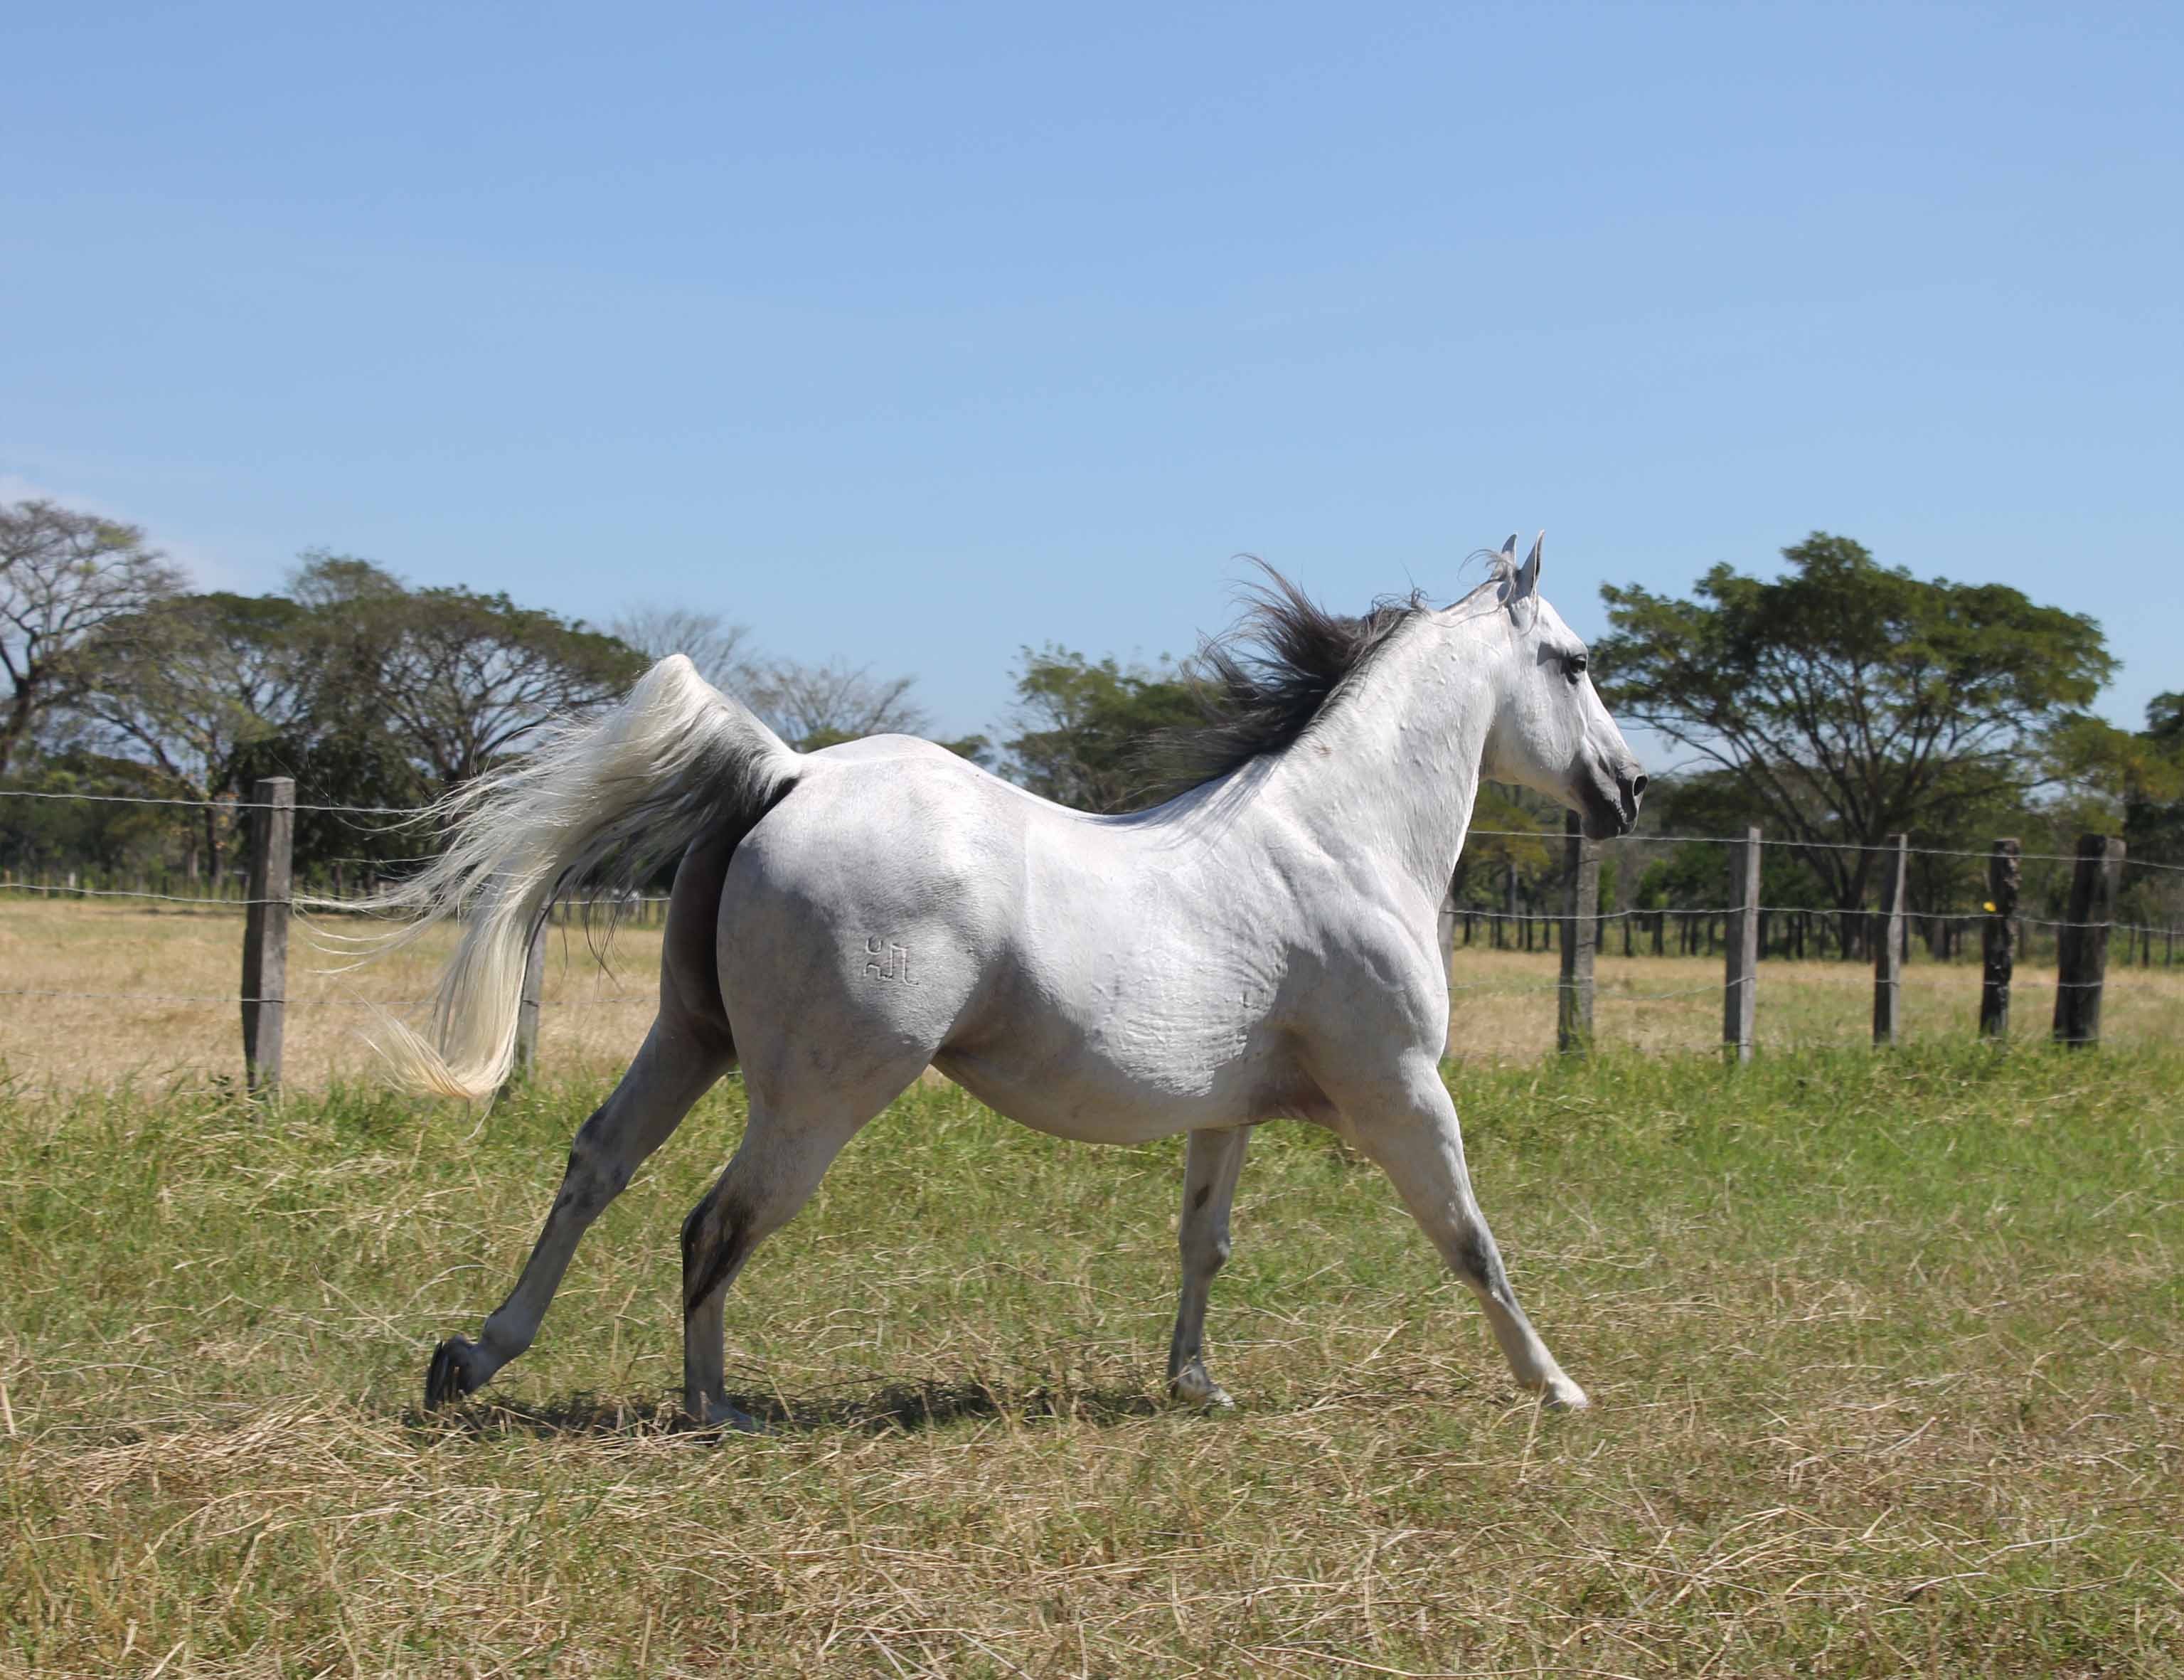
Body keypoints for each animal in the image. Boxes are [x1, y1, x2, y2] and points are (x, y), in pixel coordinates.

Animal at [376, 534, 1645, 1426]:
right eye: (1575, 662)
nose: (1628, 790)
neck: (1340, 835)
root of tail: (787, 773)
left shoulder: (1226, 1112)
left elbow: (1204, 1241)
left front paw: (1194, 1382)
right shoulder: (1400, 1093)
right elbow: (1470, 1240)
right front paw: (1557, 1387)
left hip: (691, 1037)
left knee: (597, 1163)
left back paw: (473, 1356)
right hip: (816, 1095)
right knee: (714, 1223)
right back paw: (712, 1408)